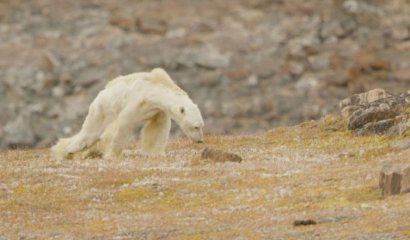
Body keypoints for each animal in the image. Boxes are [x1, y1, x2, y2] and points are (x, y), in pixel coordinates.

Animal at [51, 67, 205, 159]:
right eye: (196, 126)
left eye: (201, 125)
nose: (200, 140)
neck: (156, 87)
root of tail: (101, 93)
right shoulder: (138, 101)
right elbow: (124, 124)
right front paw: (112, 154)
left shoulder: (158, 109)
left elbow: (157, 128)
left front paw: (155, 153)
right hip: (102, 109)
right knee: (90, 133)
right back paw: (68, 150)